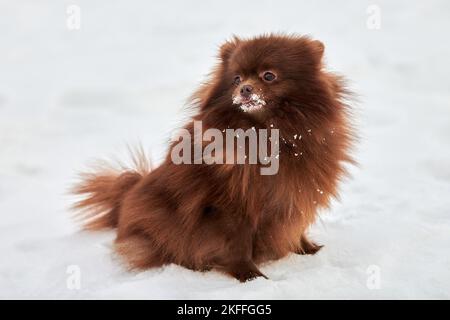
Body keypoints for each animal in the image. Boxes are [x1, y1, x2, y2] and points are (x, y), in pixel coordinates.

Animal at [73, 33, 356, 282]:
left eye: (269, 75)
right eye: (236, 78)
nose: (245, 89)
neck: (268, 134)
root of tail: (124, 202)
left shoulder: (291, 196)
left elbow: (295, 227)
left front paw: (308, 250)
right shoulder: (230, 209)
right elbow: (237, 246)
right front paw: (250, 277)